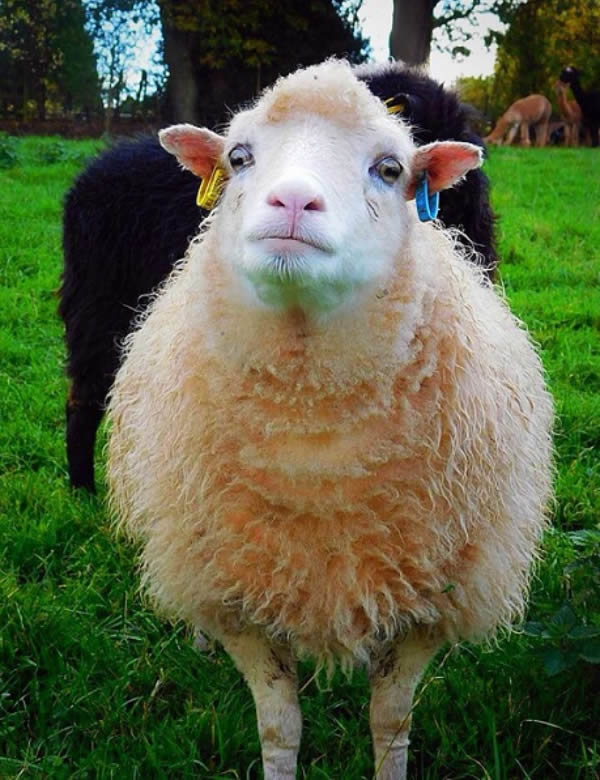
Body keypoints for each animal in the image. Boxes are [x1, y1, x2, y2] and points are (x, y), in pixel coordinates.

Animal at [108, 58, 552, 776]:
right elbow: (280, 727)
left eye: (390, 168)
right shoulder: (241, 600)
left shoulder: (427, 604)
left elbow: (391, 723)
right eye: (238, 156)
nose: (292, 202)